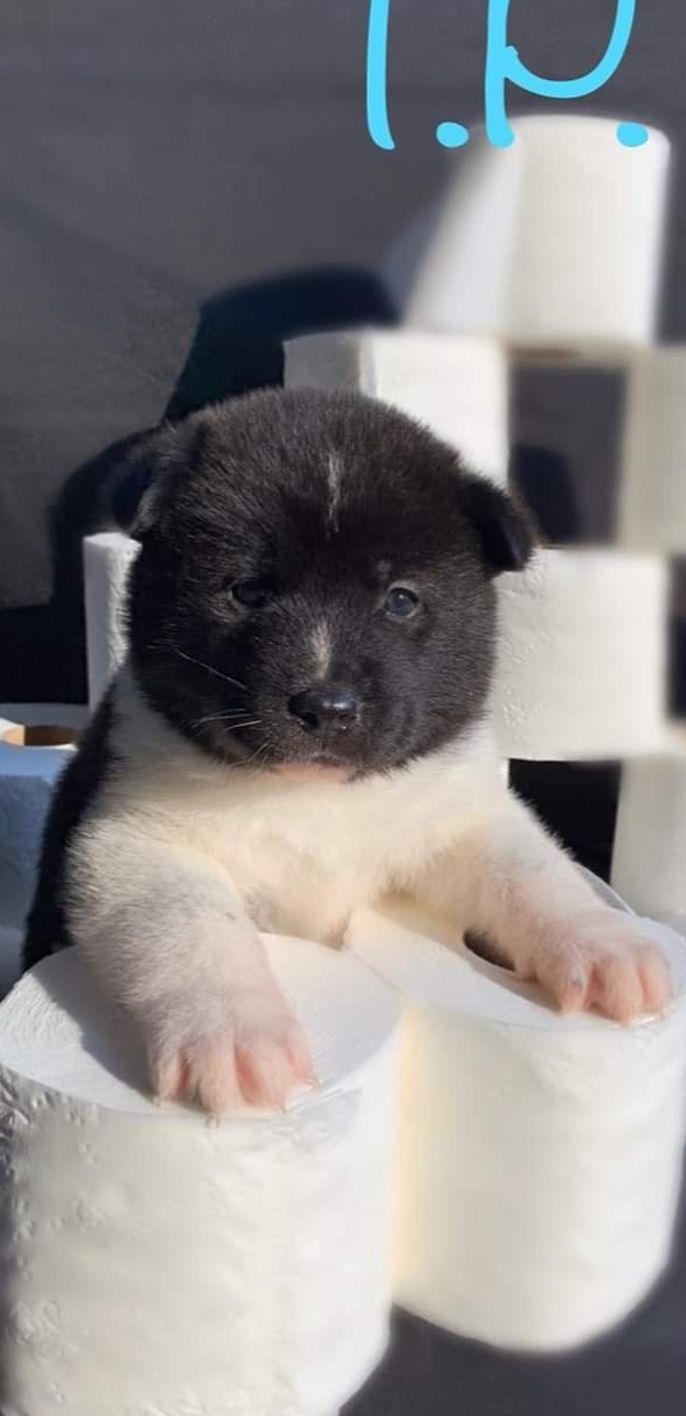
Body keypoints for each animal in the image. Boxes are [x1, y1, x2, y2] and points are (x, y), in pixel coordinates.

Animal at [24, 387, 671, 1114]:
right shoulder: (135, 840)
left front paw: (608, 948)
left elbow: (530, 870)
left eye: (400, 600)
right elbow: (193, 926)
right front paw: (237, 1037)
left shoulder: (455, 814)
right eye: (248, 591)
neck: (316, 796)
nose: (327, 708)